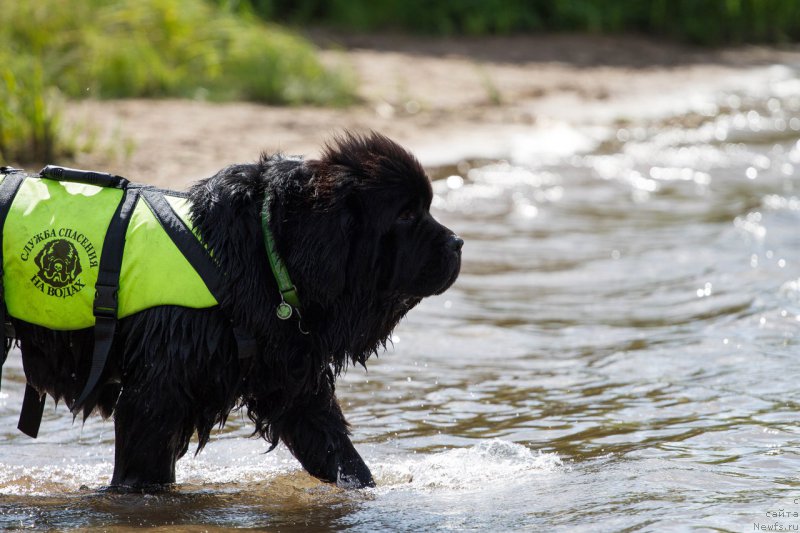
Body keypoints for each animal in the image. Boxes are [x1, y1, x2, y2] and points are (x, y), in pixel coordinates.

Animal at [9, 131, 462, 488]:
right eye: (406, 214)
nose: (458, 243)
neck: (265, 254)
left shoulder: (289, 378)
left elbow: (338, 453)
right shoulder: (156, 393)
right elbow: (143, 470)